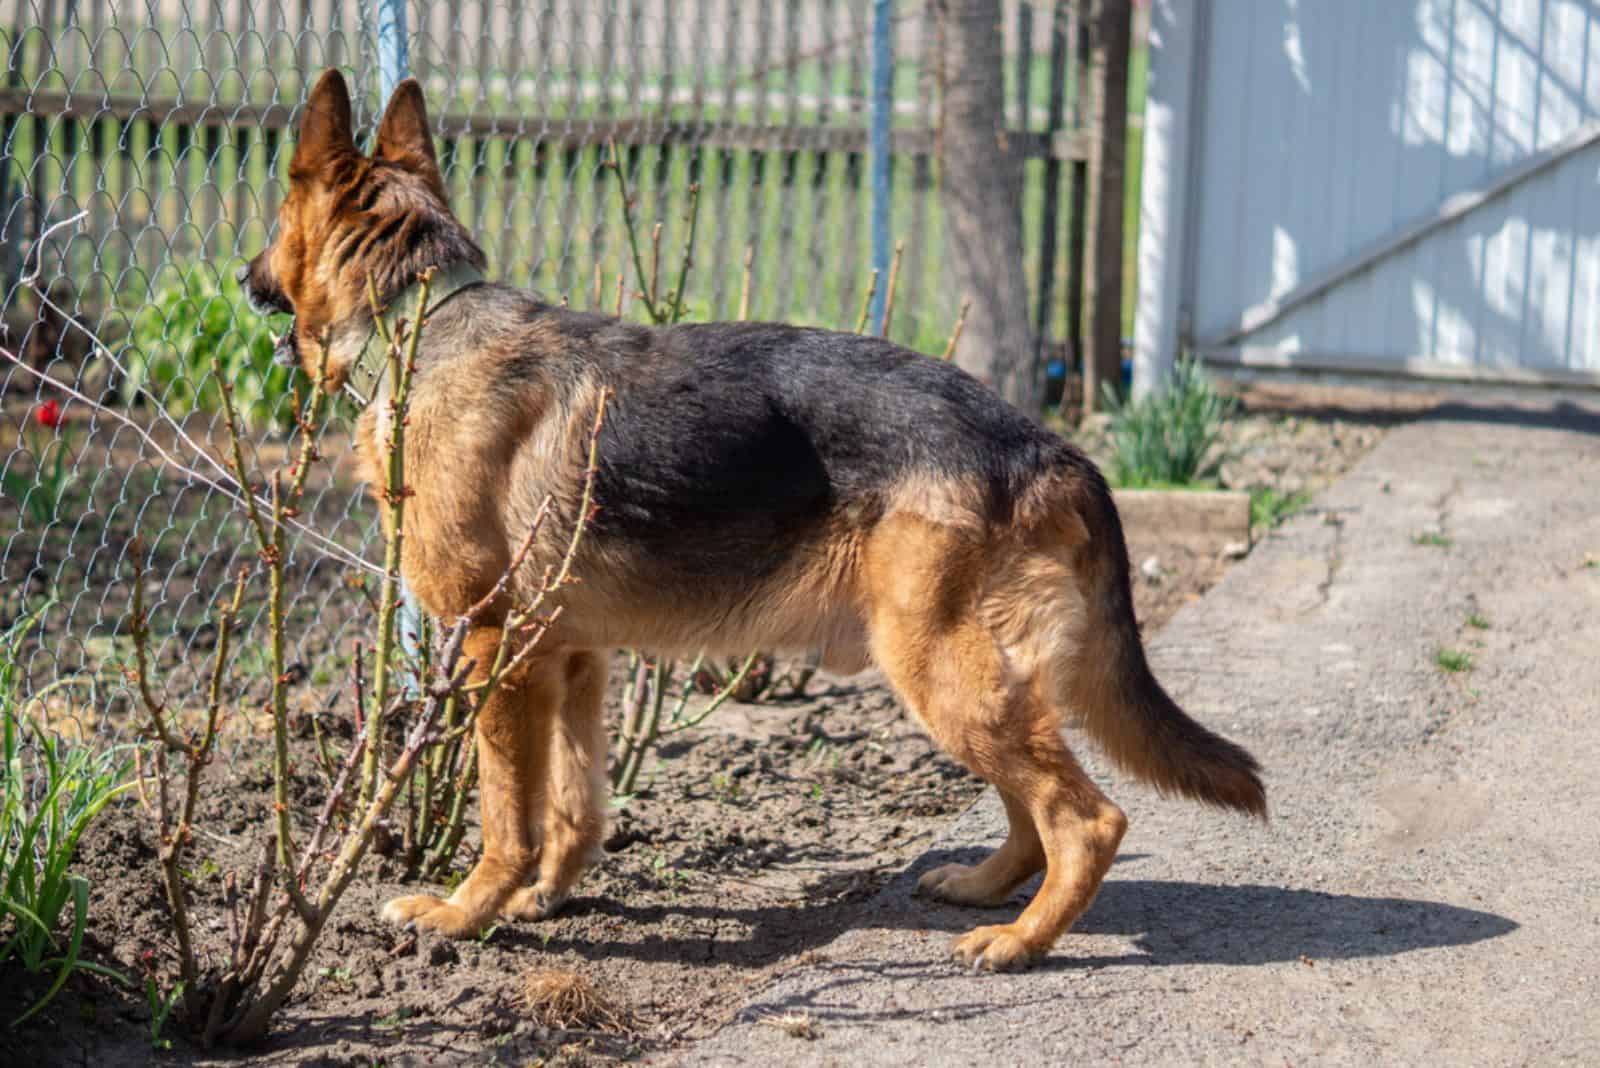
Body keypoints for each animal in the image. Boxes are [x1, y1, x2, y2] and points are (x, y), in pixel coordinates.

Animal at [243, 70, 1260, 972]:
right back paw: (984, 888)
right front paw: (547, 895)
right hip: (971, 678)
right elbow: (574, 802)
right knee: (1030, 802)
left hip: (941, 669)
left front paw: (468, 912)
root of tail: (1048, 447)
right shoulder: (573, 658)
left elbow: (505, 809)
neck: (419, 315)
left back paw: (1021, 940)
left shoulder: (498, 652)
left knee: (1088, 817)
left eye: (276, 210)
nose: (245, 279)